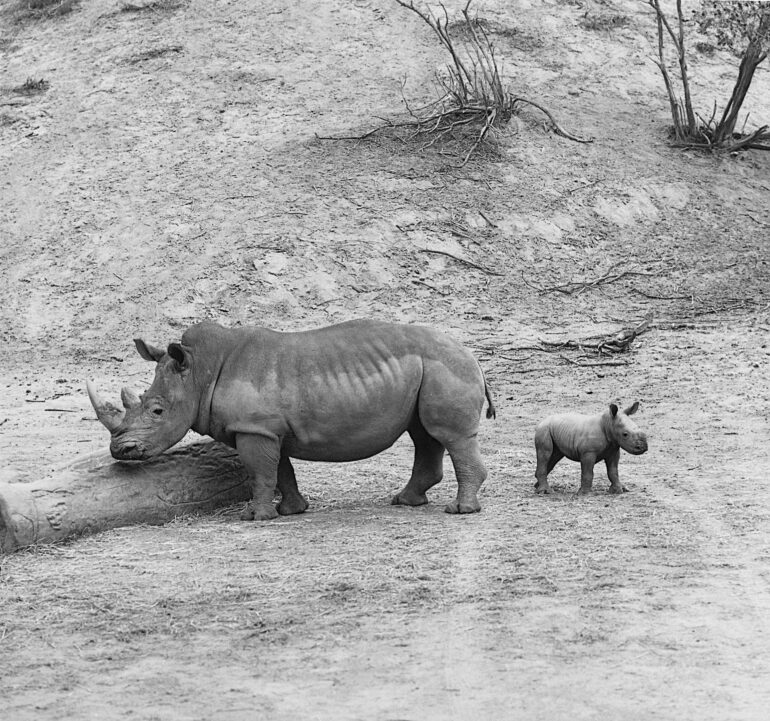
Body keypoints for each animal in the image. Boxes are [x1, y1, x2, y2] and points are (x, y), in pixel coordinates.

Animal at [87, 320, 495, 520]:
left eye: (157, 410)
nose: (120, 450)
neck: (200, 372)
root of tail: (473, 355)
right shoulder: (266, 428)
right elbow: (280, 470)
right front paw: (291, 511)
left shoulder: (255, 428)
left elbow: (260, 471)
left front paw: (255, 517)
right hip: (426, 370)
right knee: (424, 434)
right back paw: (405, 502)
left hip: (445, 366)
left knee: (449, 436)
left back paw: (459, 511)